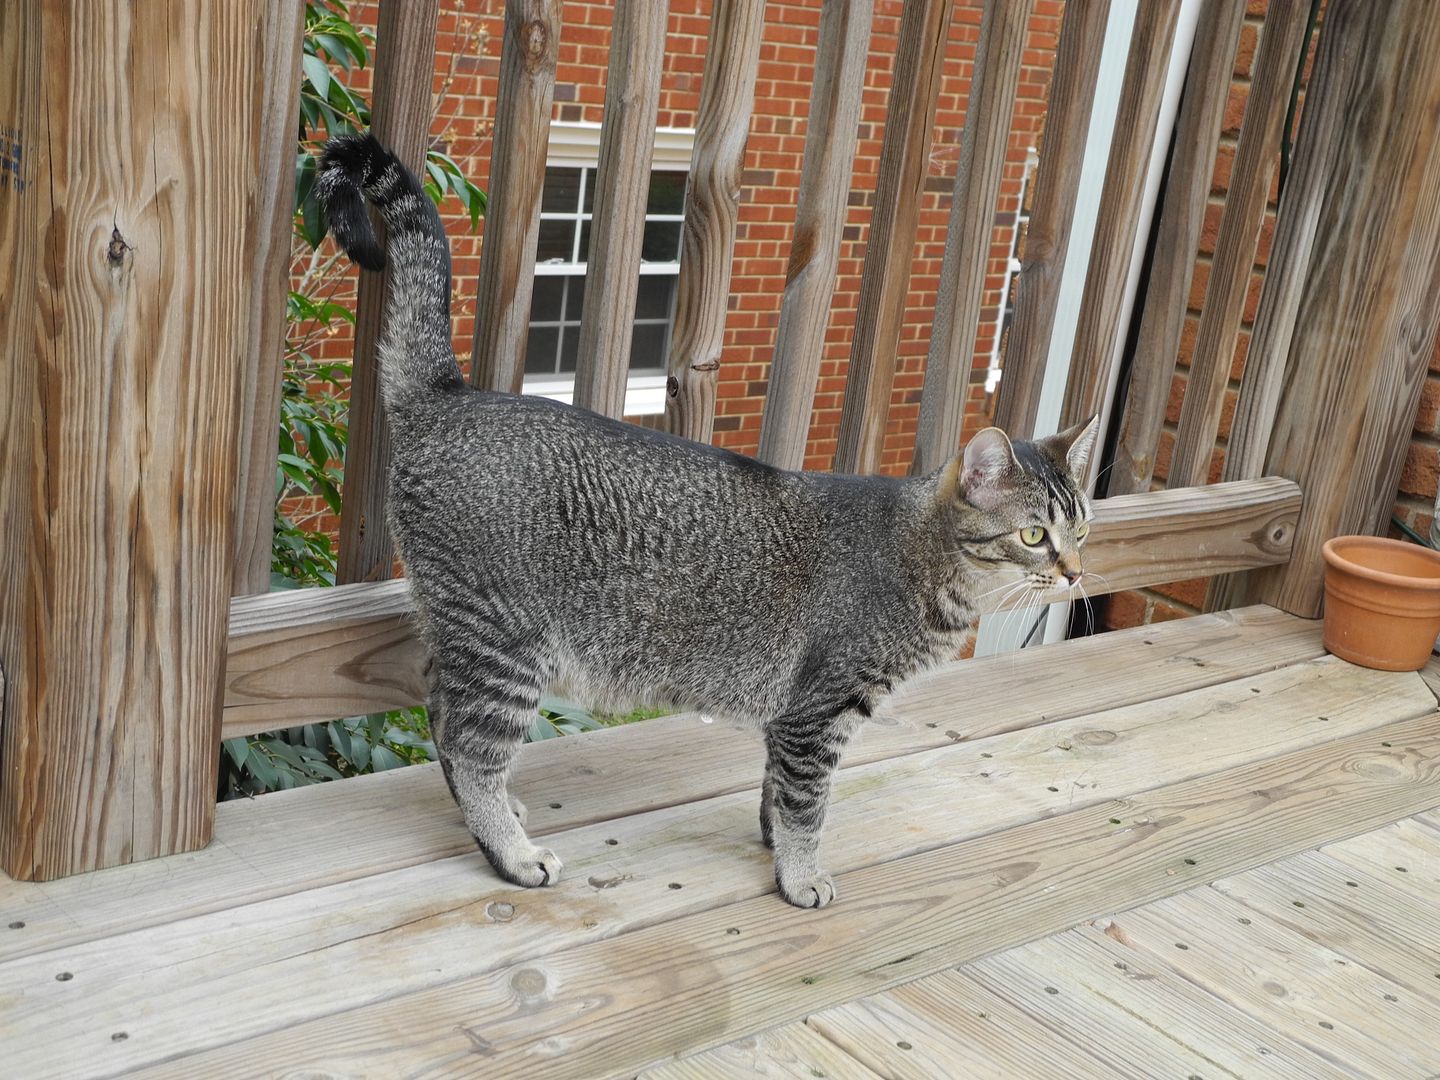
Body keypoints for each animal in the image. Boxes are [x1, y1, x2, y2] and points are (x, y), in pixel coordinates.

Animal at [321, 137, 1094, 915]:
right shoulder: (819, 714)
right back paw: (510, 850)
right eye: (1034, 535)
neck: (924, 563)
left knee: (439, 715)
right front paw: (801, 874)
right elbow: (809, 807)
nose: (1073, 572)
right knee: (471, 746)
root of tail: (448, 395)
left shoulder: (793, 720)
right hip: (505, 646)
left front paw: (774, 844)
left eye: (1082, 528)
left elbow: (777, 793)